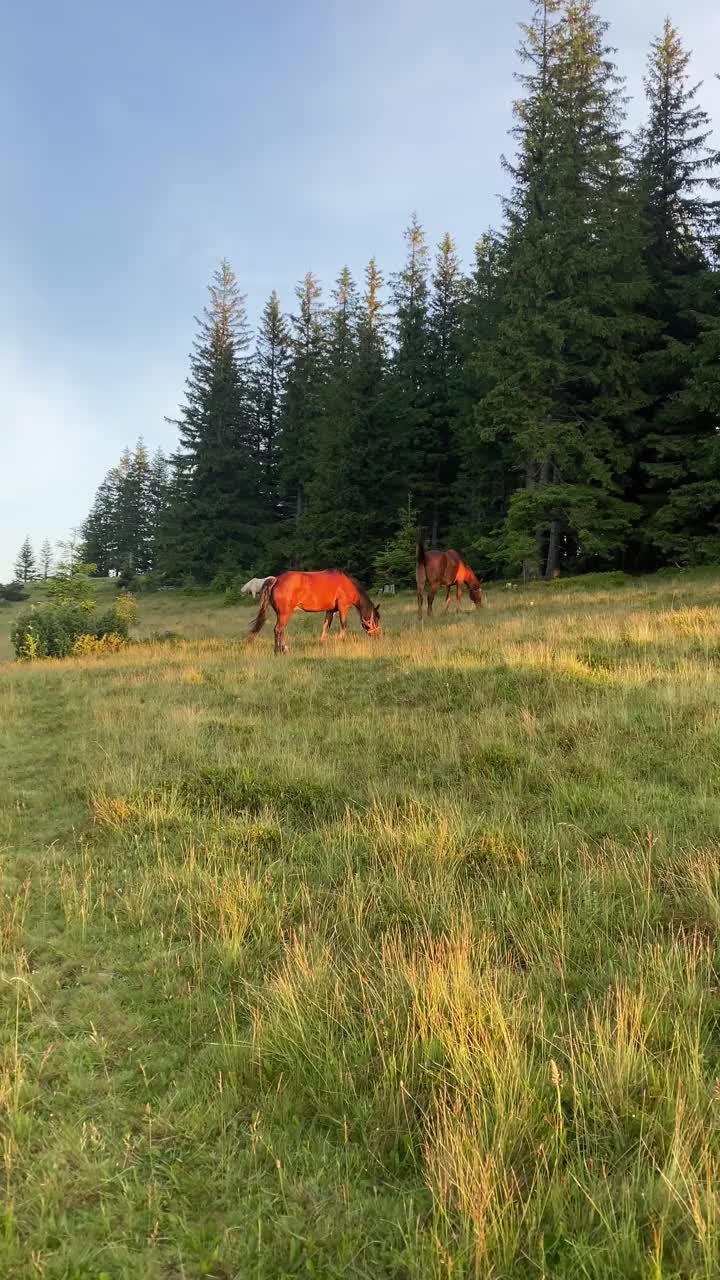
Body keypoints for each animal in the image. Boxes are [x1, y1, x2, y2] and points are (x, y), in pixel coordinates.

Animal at [248, 570, 381, 655]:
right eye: (376, 619)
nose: (378, 635)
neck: (347, 584)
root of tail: (276, 580)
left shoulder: (330, 610)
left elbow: (326, 626)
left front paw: (322, 643)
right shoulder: (343, 606)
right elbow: (344, 625)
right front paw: (341, 641)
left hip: (281, 614)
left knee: (281, 630)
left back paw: (284, 648)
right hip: (285, 614)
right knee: (278, 630)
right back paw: (278, 651)